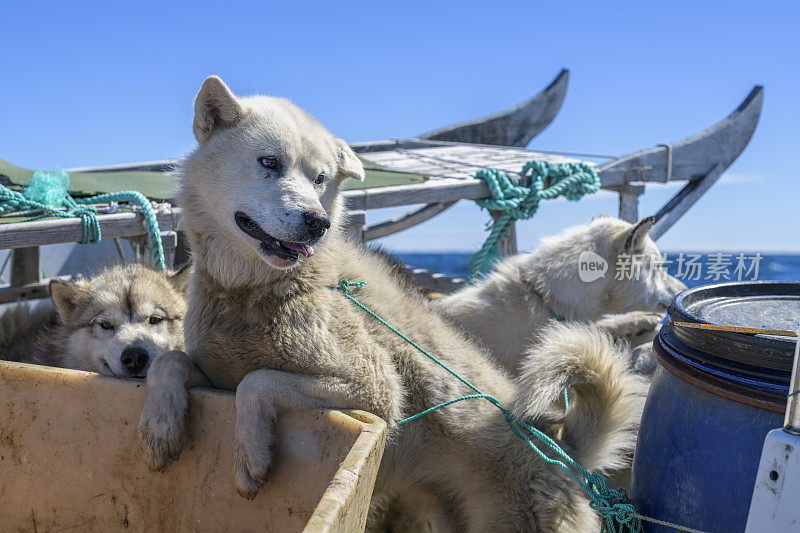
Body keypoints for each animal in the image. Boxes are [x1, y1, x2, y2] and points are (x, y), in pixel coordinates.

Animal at [138, 76, 648, 532]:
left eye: (320, 179)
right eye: (269, 162)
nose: (318, 222)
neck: (250, 294)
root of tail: (566, 453)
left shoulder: (375, 391)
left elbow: (258, 382)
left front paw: (250, 455)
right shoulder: (216, 376)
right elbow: (169, 361)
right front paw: (160, 426)